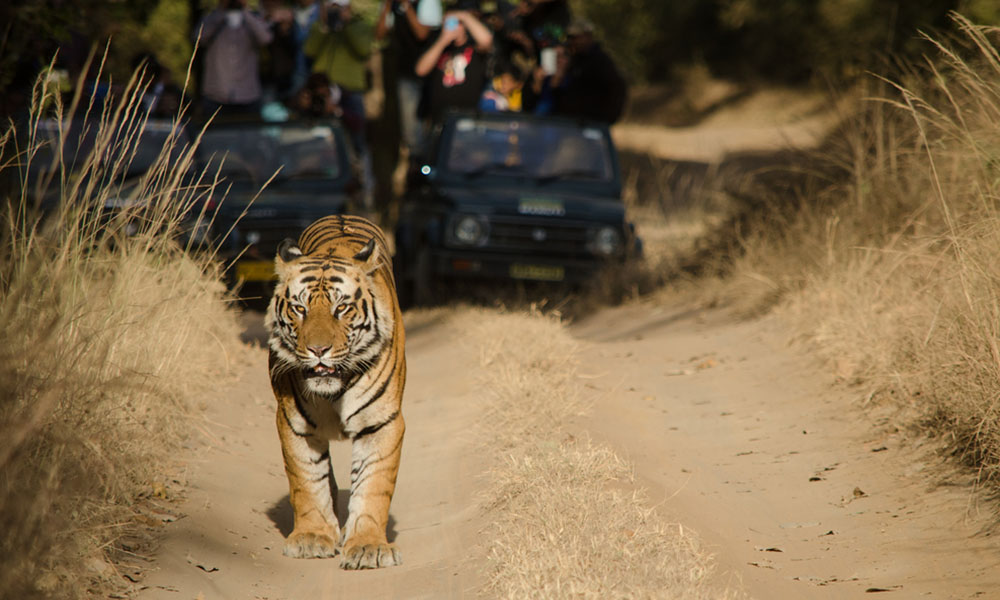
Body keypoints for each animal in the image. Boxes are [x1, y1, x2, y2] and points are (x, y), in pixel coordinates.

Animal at [268, 213, 408, 568]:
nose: (318, 350)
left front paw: (368, 546)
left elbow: (373, 485)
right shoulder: (293, 423)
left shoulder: (382, 422)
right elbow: (307, 481)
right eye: (300, 309)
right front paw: (312, 537)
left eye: (341, 308)